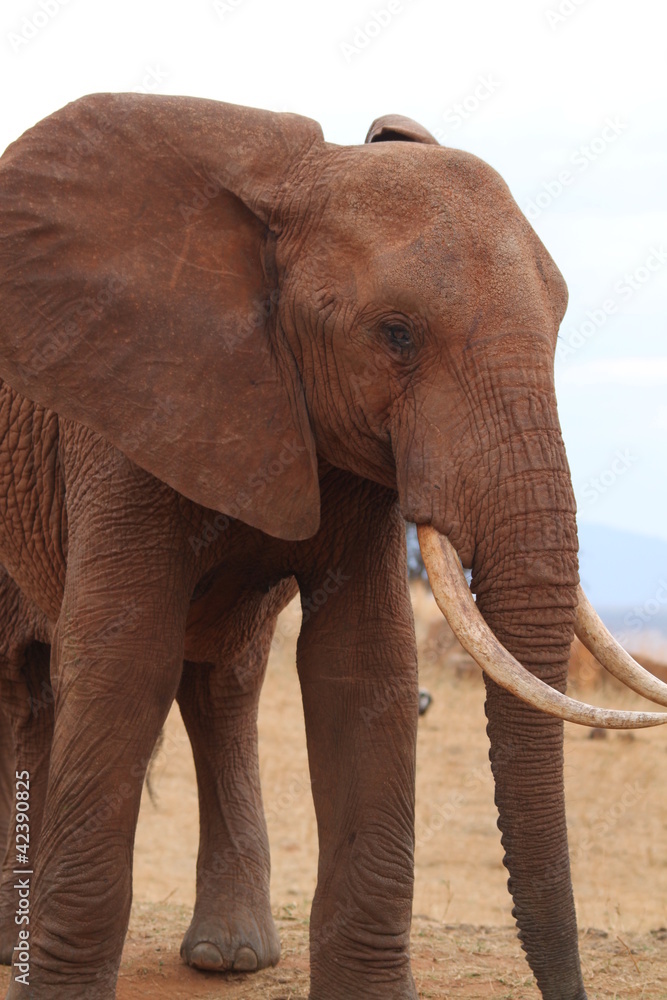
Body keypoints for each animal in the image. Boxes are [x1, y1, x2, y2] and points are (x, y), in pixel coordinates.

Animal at [0, 94, 665, 1000]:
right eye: (395, 334)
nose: (568, 989)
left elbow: (364, 662)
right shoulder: (123, 406)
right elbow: (121, 660)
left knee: (219, 682)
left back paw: (228, 957)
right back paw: (18, 951)